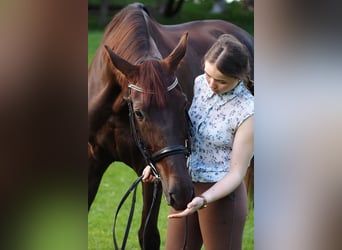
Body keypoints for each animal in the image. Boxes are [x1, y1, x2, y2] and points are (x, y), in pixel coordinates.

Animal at [88, 2, 254, 249]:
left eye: (184, 103)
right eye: (139, 112)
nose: (183, 192)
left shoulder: (153, 173)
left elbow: (148, 235)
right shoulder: (93, 160)